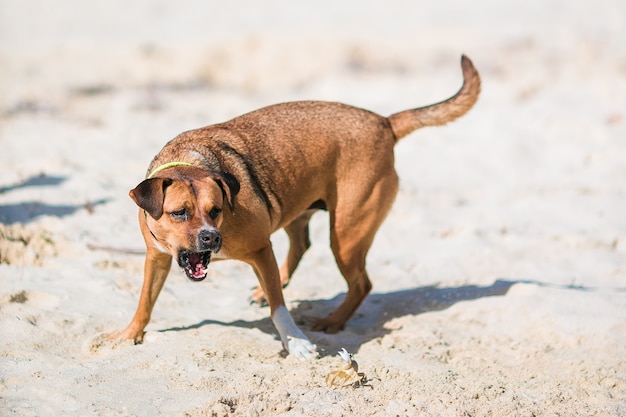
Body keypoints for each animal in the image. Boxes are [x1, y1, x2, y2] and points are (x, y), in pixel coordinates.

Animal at [114, 56, 480, 358]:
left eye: (216, 210)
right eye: (179, 213)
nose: (211, 238)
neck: (191, 159)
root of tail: (384, 123)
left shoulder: (261, 249)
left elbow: (280, 308)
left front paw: (296, 343)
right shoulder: (156, 257)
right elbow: (145, 299)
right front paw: (130, 333)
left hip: (346, 235)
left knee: (361, 283)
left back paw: (332, 321)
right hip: (298, 209)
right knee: (301, 246)